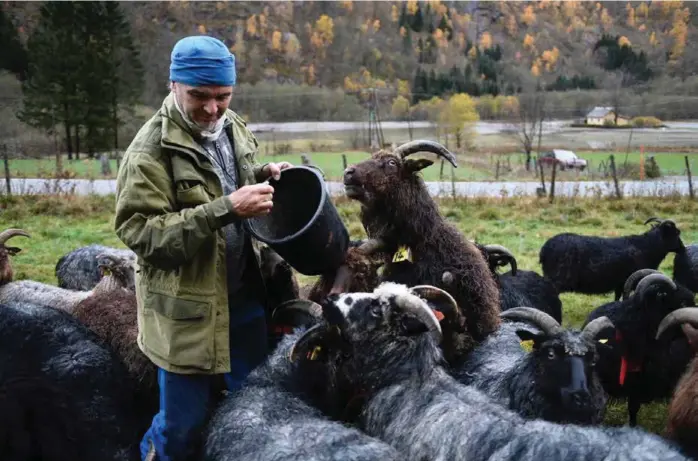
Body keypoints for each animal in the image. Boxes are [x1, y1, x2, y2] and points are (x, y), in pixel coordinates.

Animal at [540, 217, 684, 300]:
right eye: (676, 233)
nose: (682, 248)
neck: (648, 246)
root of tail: (544, 250)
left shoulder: (620, 283)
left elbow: (617, 298)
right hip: (557, 279)